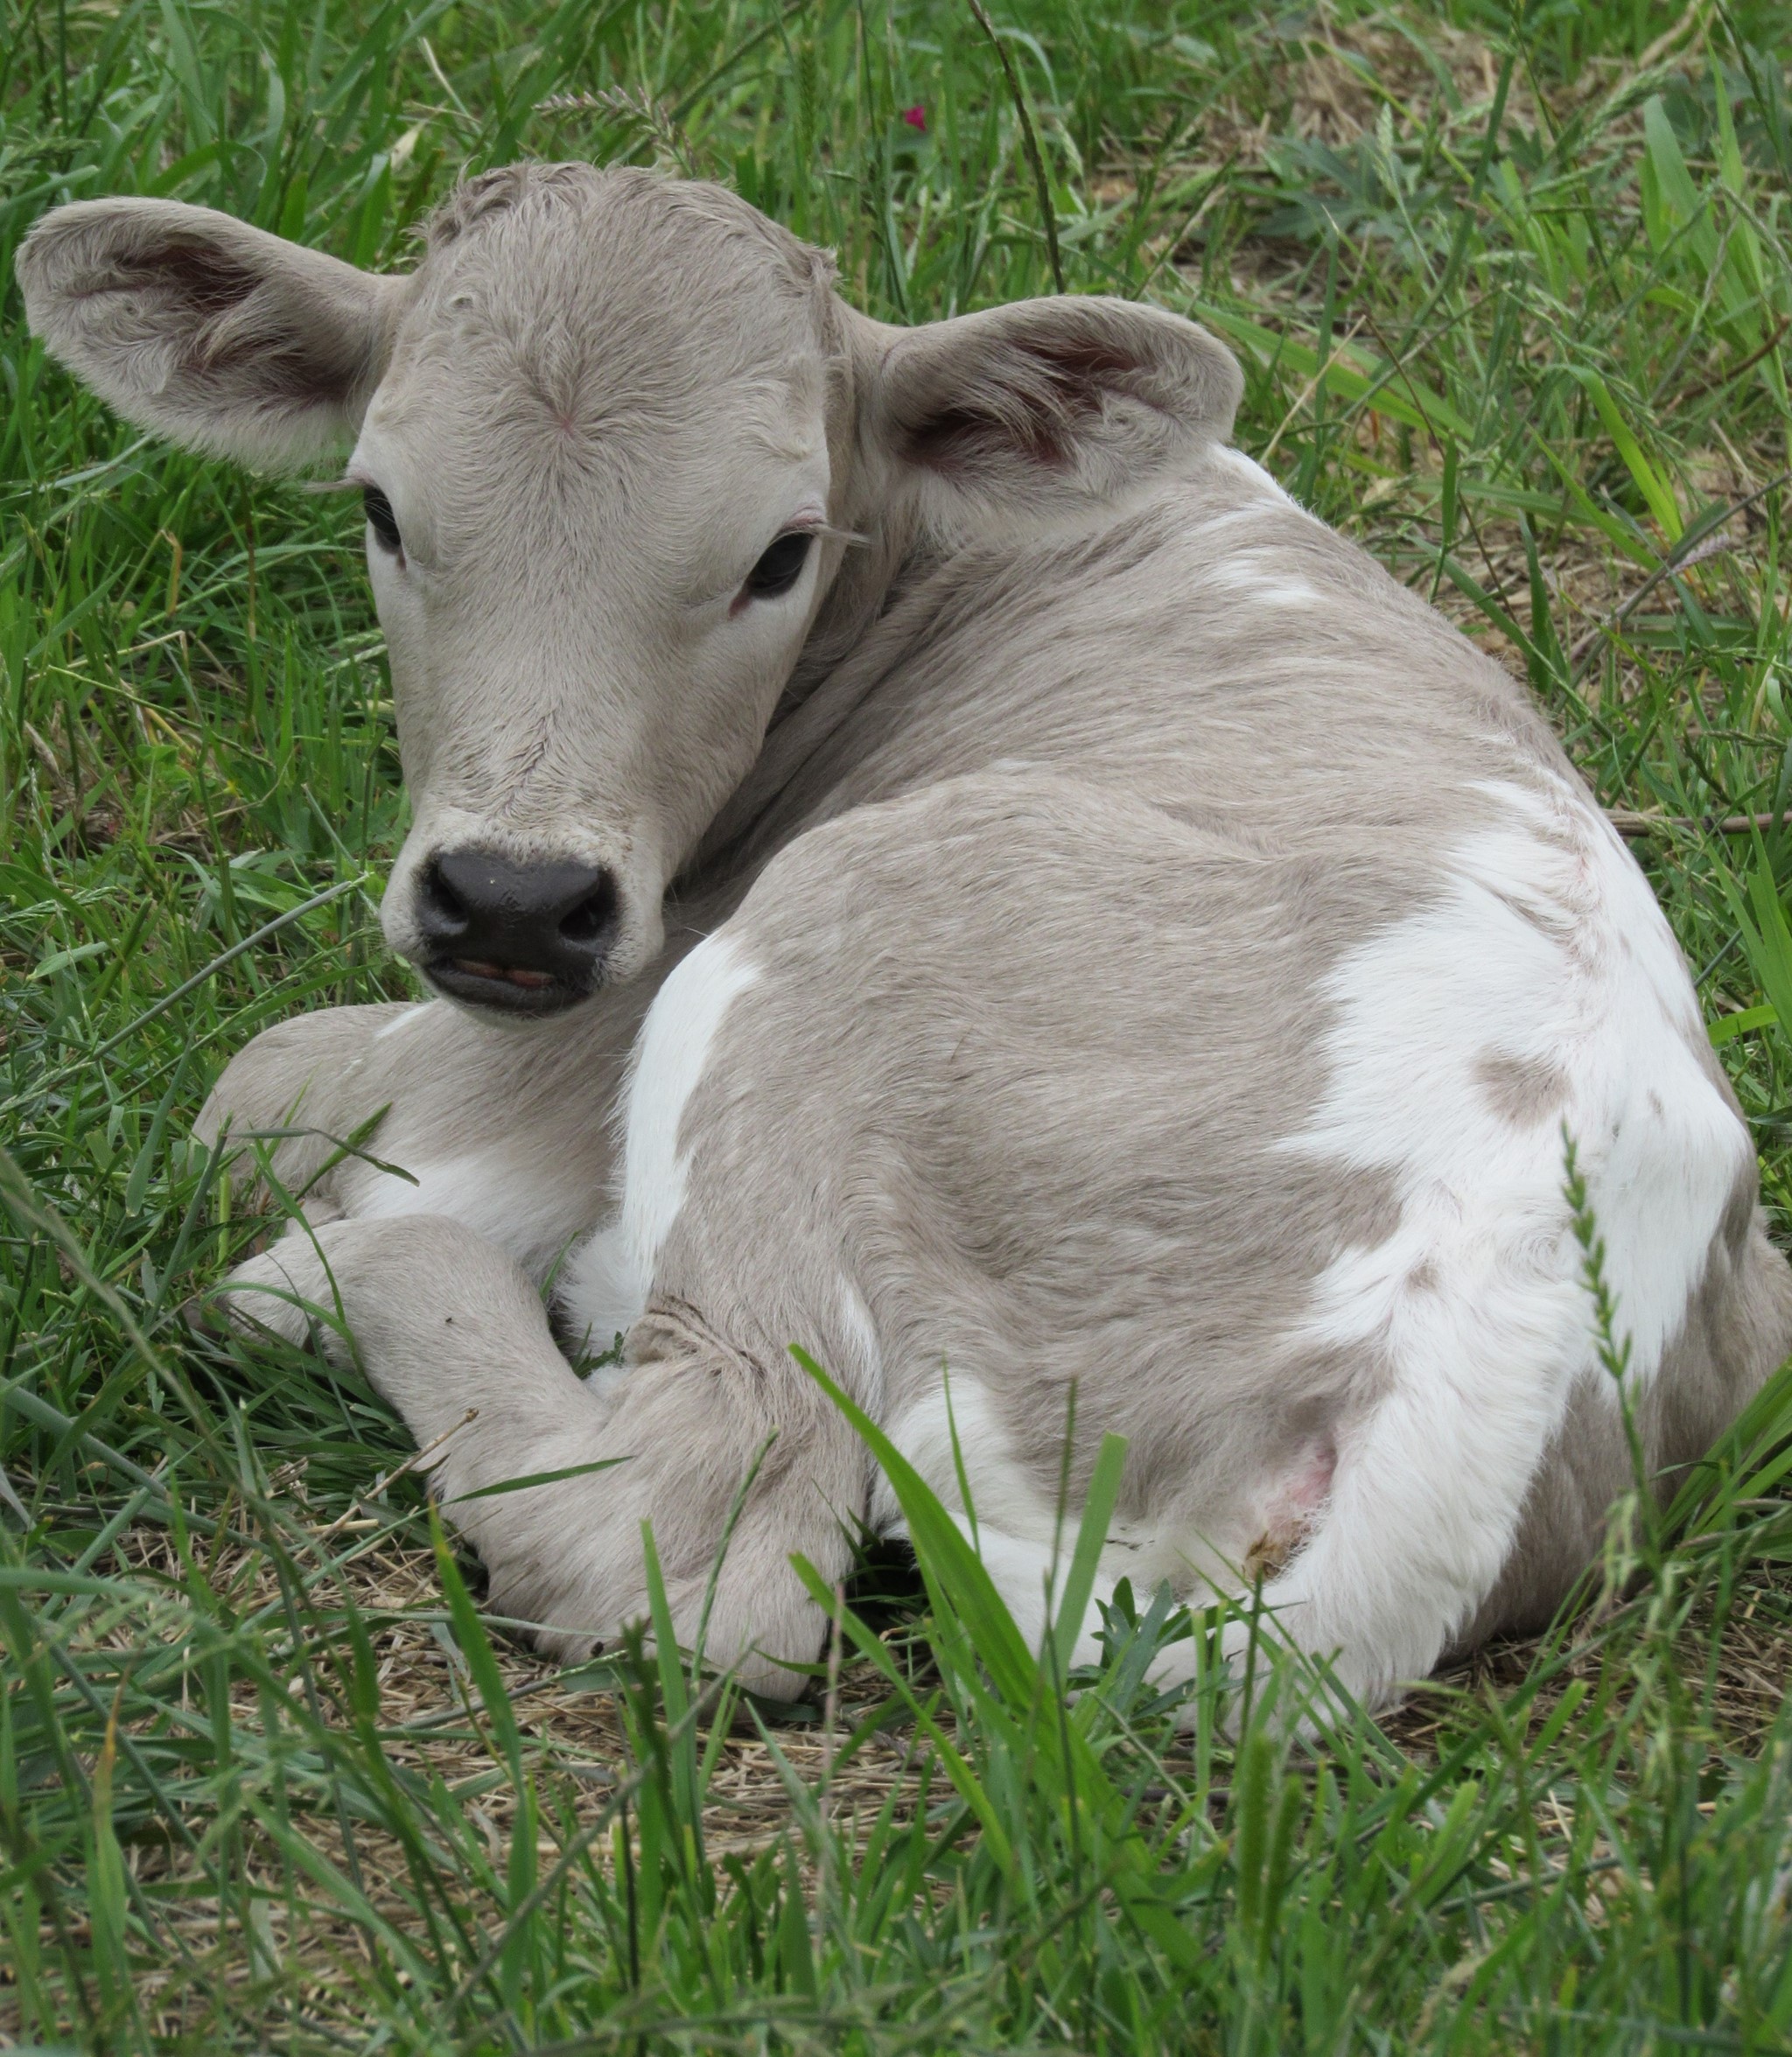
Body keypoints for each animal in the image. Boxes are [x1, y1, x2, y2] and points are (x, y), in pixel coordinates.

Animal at [20, 163, 1792, 1718]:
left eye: (779, 553)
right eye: (382, 509)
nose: (511, 899)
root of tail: (1492, 1330)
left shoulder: (530, 1054)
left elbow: (244, 1092)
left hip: (823, 967)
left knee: (693, 1546)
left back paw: (342, 1280)